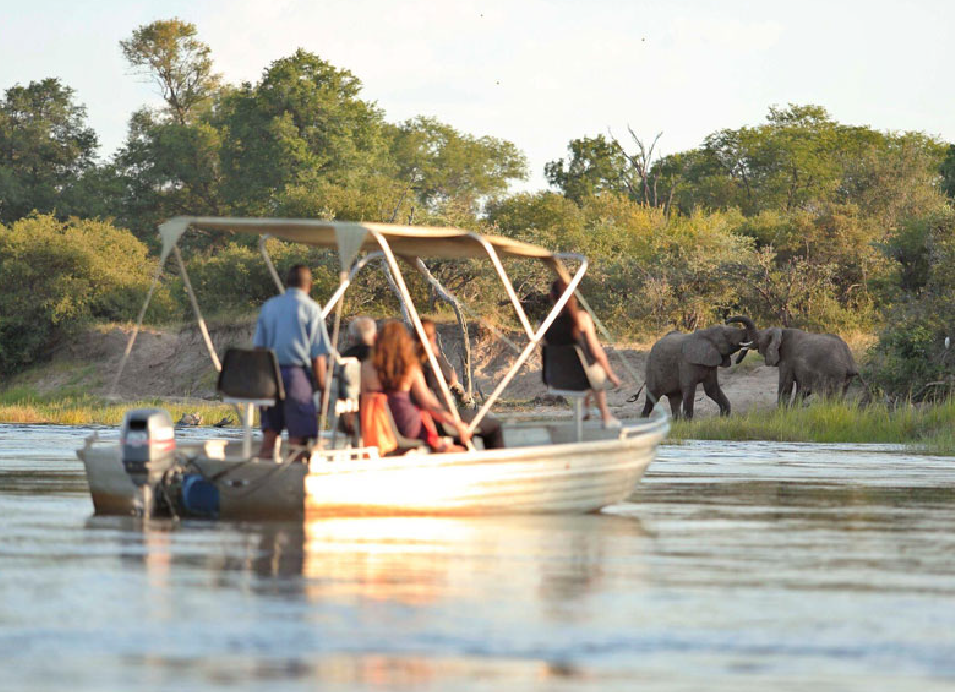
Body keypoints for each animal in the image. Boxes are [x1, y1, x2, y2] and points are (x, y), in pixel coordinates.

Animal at [727, 316, 866, 405]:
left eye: (759, 338)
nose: (726, 320)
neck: (781, 331)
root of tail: (850, 362)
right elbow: (801, 390)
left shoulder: (787, 361)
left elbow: (785, 386)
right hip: (845, 379)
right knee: (839, 397)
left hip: (834, 374)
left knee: (830, 398)